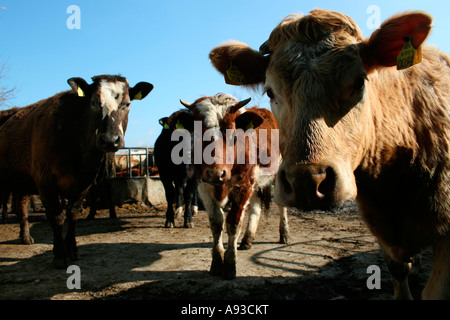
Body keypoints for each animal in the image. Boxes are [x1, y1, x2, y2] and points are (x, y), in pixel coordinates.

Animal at [0, 74, 153, 268]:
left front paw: (72, 250)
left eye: (127, 104)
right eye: (93, 103)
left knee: (21, 205)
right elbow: (57, 216)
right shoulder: (45, 183)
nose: (110, 140)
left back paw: (25, 236)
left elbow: (72, 214)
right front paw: (60, 255)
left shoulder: (83, 183)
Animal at [178, 94, 290, 278]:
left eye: (231, 131)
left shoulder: (243, 186)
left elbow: (233, 223)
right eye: (199, 132)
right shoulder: (204, 187)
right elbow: (217, 223)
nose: (216, 173)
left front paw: (230, 263)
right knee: (256, 206)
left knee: (281, 206)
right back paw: (247, 239)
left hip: (277, 173)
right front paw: (217, 262)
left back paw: (285, 234)